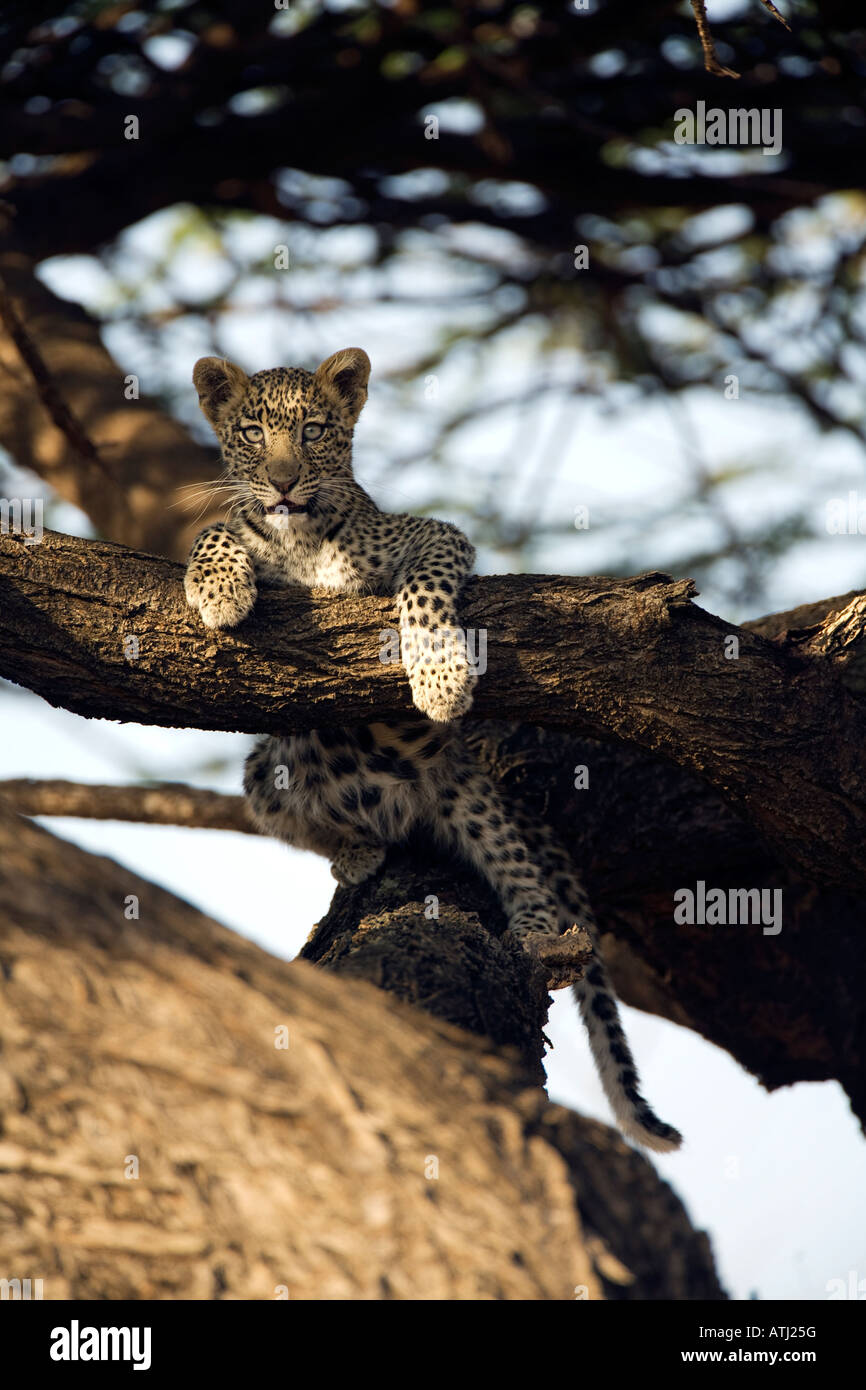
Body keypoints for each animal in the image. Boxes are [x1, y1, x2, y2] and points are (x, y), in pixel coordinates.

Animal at [183, 347, 682, 1153]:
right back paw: (356, 851)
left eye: (314, 430)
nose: (285, 481)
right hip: (264, 772)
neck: (300, 538)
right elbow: (220, 530)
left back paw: (536, 934)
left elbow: (420, 589)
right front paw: (221, 589)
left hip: (473, 803)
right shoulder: (244, 531)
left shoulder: (433, 535)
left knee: (529, 884)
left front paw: (440, 676)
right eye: (253, 433)